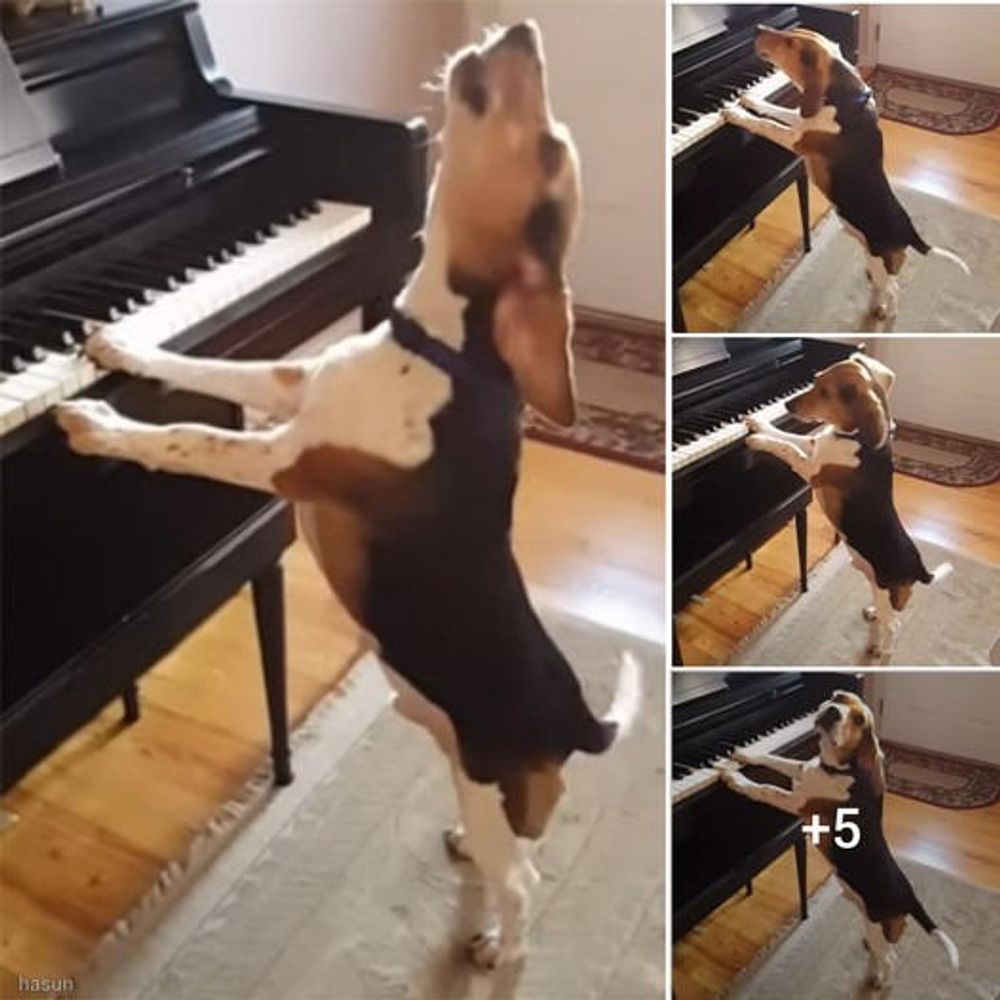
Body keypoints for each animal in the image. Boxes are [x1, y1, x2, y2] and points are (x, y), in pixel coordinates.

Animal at [52, 21, 640, 968]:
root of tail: (577, 721)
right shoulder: (291, 383)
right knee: (513, 846)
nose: (522, 28)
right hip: (462, 759)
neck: (446, 350)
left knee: (523, 883)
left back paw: (497, 947)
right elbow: (202, 367)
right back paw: (468, 860)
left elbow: (192, 439)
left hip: (486, 773)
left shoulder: (287, 461)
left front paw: (100, 424)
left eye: (551, 148)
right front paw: (122, 347)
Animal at [716, 692, 956, 988]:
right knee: (882, 952)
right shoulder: (801, 769)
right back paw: (872, 968)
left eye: (859, 719)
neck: (835, 768)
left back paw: (879, 982)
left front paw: (735, 778)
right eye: (838, 697)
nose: (832, 711)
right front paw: (742, 754)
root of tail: (910, 897)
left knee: (891, 959)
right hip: (869, 921)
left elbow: (765, 789)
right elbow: (770, 757)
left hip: (877, 925)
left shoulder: (798, 803)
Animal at [720, 25, 968, 320]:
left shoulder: (796, 139)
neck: (843, 98)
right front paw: (748, 98)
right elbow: (773, 109)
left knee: (895, 290)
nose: (757, 28)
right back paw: (874, 305)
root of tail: (908, 231)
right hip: (871, 258)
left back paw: (888, 314)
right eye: (792, 32)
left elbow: (766, 124)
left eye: (791, 43)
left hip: (880, 263)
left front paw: (736, 114)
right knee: (881, 286)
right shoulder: (801, 119)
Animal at [748, 352, 948, 664]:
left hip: (888, 592)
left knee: (894, 626)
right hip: (876, 584)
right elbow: (787, 436)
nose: (787, 405)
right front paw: (758, 424)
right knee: (883, 615)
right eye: (814, 380)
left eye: (825, 392)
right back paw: (873, 617)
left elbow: (788, 449)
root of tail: (919, 569)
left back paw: (883, 652)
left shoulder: (813, 471)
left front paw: (758, 440)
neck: (853, 438)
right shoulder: (814, 443)